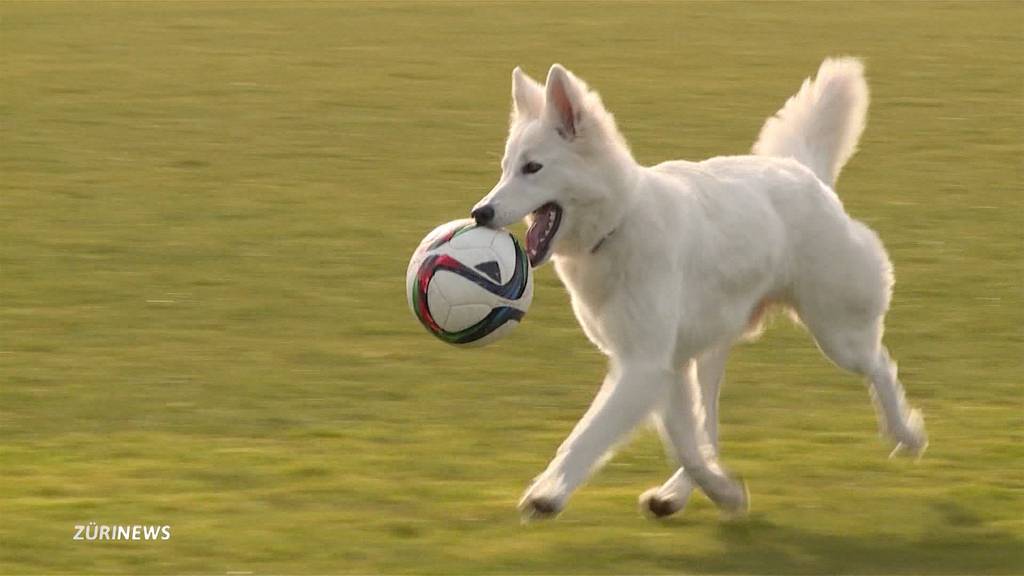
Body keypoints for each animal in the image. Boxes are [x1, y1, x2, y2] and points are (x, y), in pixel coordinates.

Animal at [471, 59, 929, 520]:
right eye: (506, 168)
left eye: (533, 168)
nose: (480, 213)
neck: (620, 223)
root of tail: (800, 169)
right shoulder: (664, 368)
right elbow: (685, 446)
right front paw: (725, 492)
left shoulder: (643, 366)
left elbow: (588, 436)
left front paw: (547, 494)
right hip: (711, 352)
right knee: (708, 427)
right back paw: (678, 493)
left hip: (838, 336)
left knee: (879, 365)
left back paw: (906, 434)